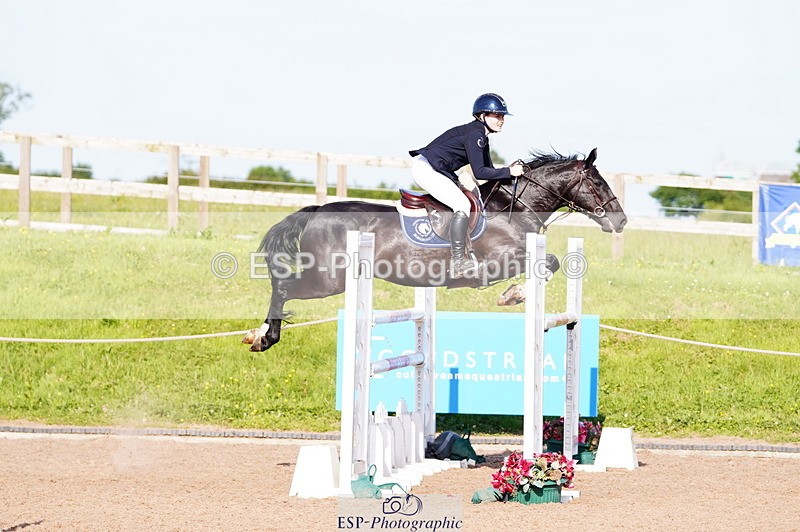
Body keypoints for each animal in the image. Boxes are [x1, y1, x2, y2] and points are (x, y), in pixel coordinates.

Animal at [244, 148, 627, 351]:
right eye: (597, 183)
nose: (621, 221)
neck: (514, 206)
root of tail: (318, 210)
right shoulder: (501, 260)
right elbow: (549, 262)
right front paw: (513, 295)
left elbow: (553, 263)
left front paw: (514, 294)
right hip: (329, 279)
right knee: (283, 287)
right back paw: (264, 337)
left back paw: (259, 334)